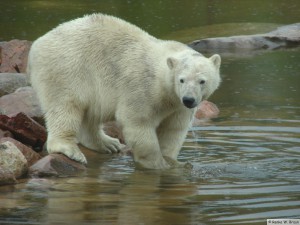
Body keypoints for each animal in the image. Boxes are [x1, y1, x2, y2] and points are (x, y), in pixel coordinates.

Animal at [27, 13, 220, 169]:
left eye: (202, 81)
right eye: (181, 79)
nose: (189, 99)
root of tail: (37, 44)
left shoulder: (177, 106)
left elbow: (173, 129)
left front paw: (170, 161)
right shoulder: (143, 88)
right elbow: (138, 122)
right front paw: (158, 164)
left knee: (90, 114)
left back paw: (107, 144)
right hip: (67, 69)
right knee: (65, 106)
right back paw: (70, 149)